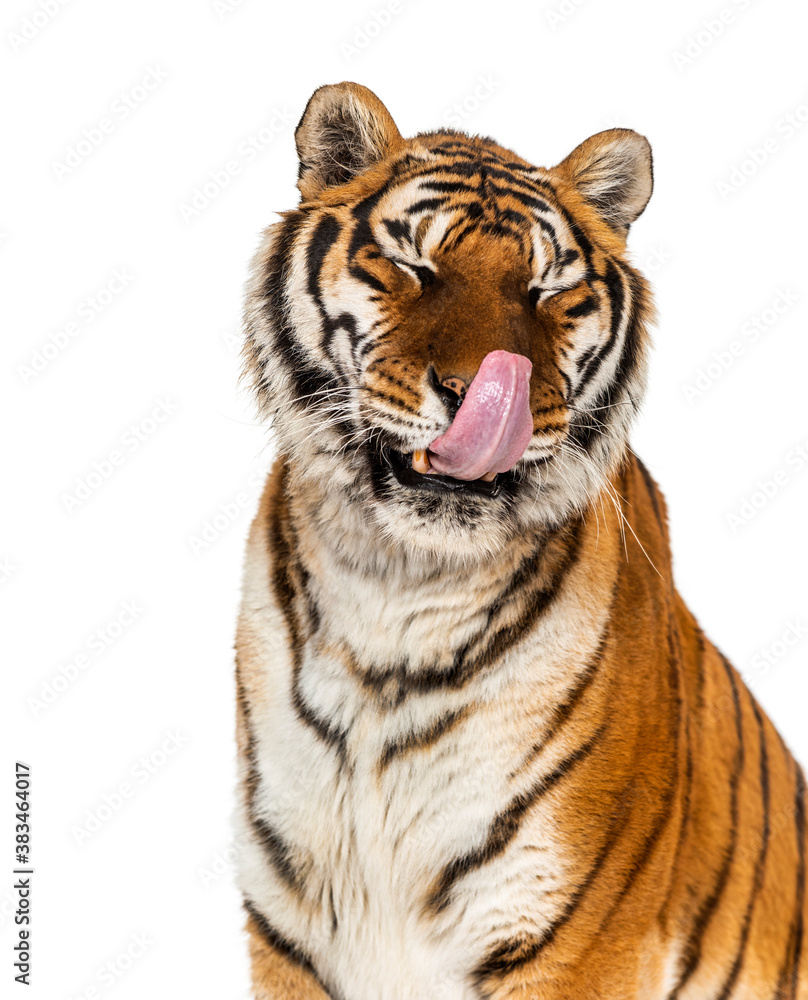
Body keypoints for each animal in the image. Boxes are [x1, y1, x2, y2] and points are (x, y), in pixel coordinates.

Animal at [234, 81, 806, 999]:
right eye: (413, 266)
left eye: (545, 291)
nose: (480, 394)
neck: (395, 587)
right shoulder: (290, 921)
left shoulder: (578, 928)